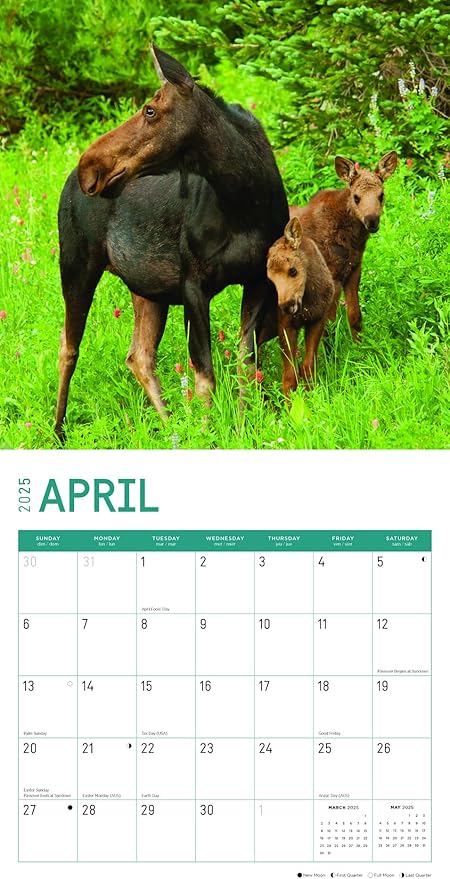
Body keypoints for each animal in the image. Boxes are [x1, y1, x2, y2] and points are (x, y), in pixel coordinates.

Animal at [55, 46, 289, 440]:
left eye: (150, 110)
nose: (90, 166)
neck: (244, 199)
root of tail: (67, 183)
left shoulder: (258, 278)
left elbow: (245, 363)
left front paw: (241, 428)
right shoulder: (193, 283)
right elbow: (205, 373)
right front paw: (208, 434)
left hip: (148, 288)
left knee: (138, 355)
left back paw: (170, 428)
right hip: (76, 264)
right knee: (68, 348)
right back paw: (57, 431)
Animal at [267, 216, 335, 394]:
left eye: (293, 270)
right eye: (270, 279)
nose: (286, 305)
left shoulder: (318, 319)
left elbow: (307, 367)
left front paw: (313, 394)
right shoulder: (284, 325)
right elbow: (290, 376)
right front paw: (291, 402)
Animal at [289, 151, 398, 342]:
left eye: (381, 195)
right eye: (356, 197)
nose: (372, 221)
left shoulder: (353, 269)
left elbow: (354, 316)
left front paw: (360, 346)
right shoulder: (332, 276)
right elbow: (328, 325)